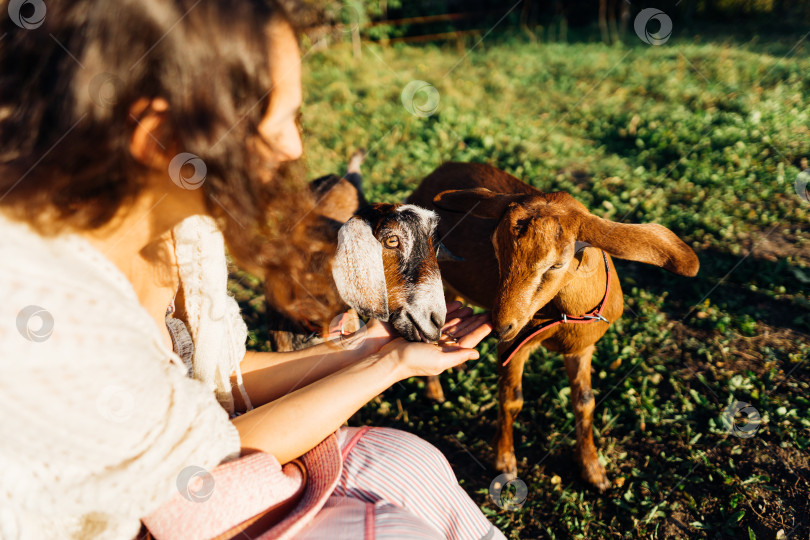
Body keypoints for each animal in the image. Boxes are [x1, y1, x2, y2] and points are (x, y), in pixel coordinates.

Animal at [408, 162, 696, 492]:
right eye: (496, 247)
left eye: (557, 264)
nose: (500, 325)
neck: (564, 317)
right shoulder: (514, 346)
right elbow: (511, 400)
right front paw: (505, 464)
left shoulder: (582, 348)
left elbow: (585, 402)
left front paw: (594, 471)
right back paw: (434, 390)